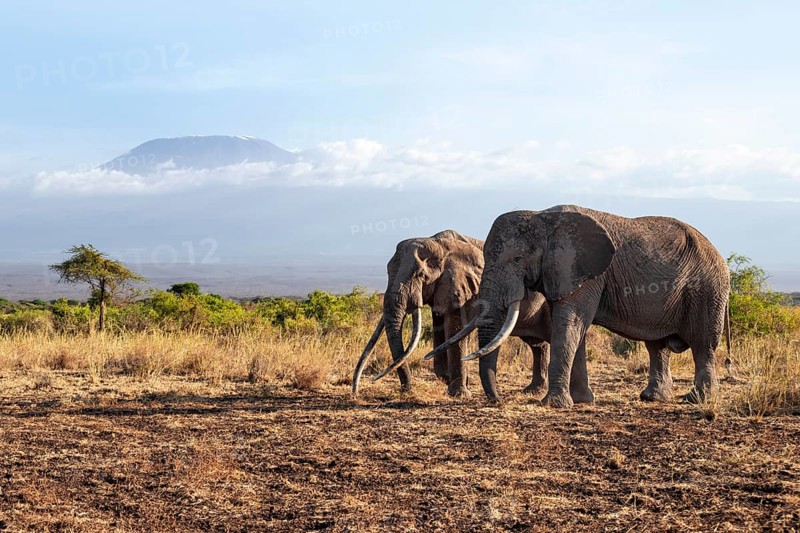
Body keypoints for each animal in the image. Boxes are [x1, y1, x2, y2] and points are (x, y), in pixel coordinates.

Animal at [351, 230, 556, 399]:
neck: (438, 244)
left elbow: (454, 328)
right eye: (387, 272)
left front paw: (459, 392)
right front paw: (449, 379)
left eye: (420, 275)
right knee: (536, 344)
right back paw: (533, 390)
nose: (406, 390)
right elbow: (439, 328)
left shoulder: (464, 288)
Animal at [430, 205, 731, 408]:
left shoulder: (586, 272)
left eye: (517, 259)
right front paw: (582, 401)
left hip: (707, 290)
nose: (499, 399)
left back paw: (696, 399)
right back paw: (652, 398)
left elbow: (570, 324)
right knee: (657, 346)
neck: (542, 217)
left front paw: (554, 404)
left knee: (703, 343)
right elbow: (575, 328)